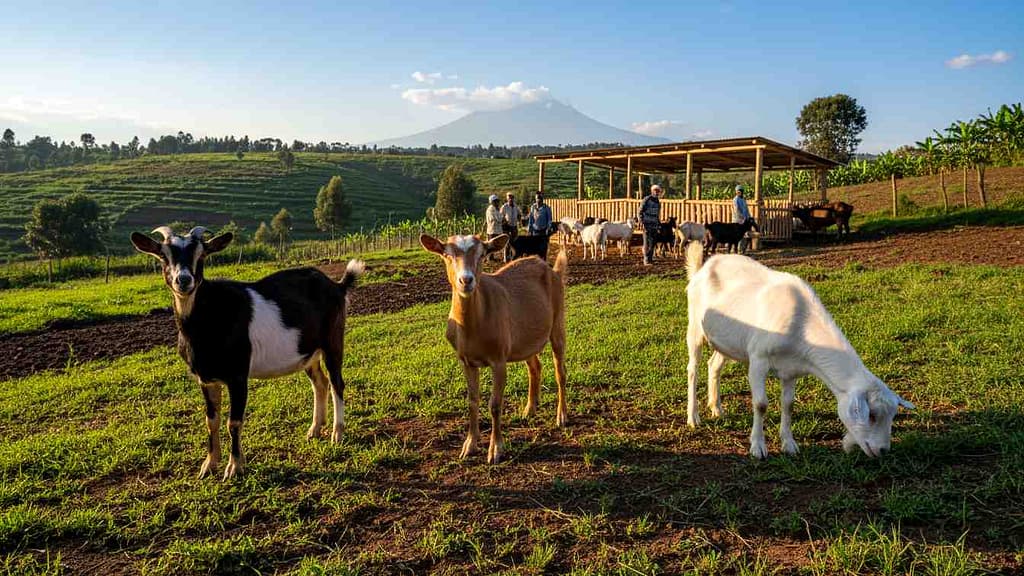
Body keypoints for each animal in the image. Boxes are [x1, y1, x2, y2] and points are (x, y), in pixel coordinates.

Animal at [131, 226, 364, 480]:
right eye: (164, 256)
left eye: (201, 255)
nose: (183, 280)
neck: (208, 319)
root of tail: (337, 285)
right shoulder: (206, 379)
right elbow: (211, 420)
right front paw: (209, 464)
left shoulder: (238, 375)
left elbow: (234, 422)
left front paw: (234, 467)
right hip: (308, 352)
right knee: (320, 383)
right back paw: (314, 429)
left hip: (333, 340)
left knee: (337, 383)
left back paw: (337, 434)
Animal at [420, 234, 569, 463]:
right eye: (447, 254)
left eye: (482, 254)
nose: (466, 280)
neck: (473, 328)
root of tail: (550, 268)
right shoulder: (466, 361)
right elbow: (472, 401)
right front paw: (469, 445)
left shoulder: (498, 359)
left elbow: (495, 404)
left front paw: (496, 449)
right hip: (524, 339)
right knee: (535, 367)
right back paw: (530, 409)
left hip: (558, 320)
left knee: (560, 371)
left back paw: (561, 416)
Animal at [683, 241, 914, 458]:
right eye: (872, 415)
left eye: (893, 416)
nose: (883, 450)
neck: (800, 324)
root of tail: (703, 267)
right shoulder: (758, 359)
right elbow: (760, 404)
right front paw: (758, 447)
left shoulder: (791, 370)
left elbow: (788, 404)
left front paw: (789, 445)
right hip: (694, 327)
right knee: (693, 369)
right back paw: (693, 417)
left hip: (726, 341)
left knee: (714, 365)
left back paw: (716, 408)